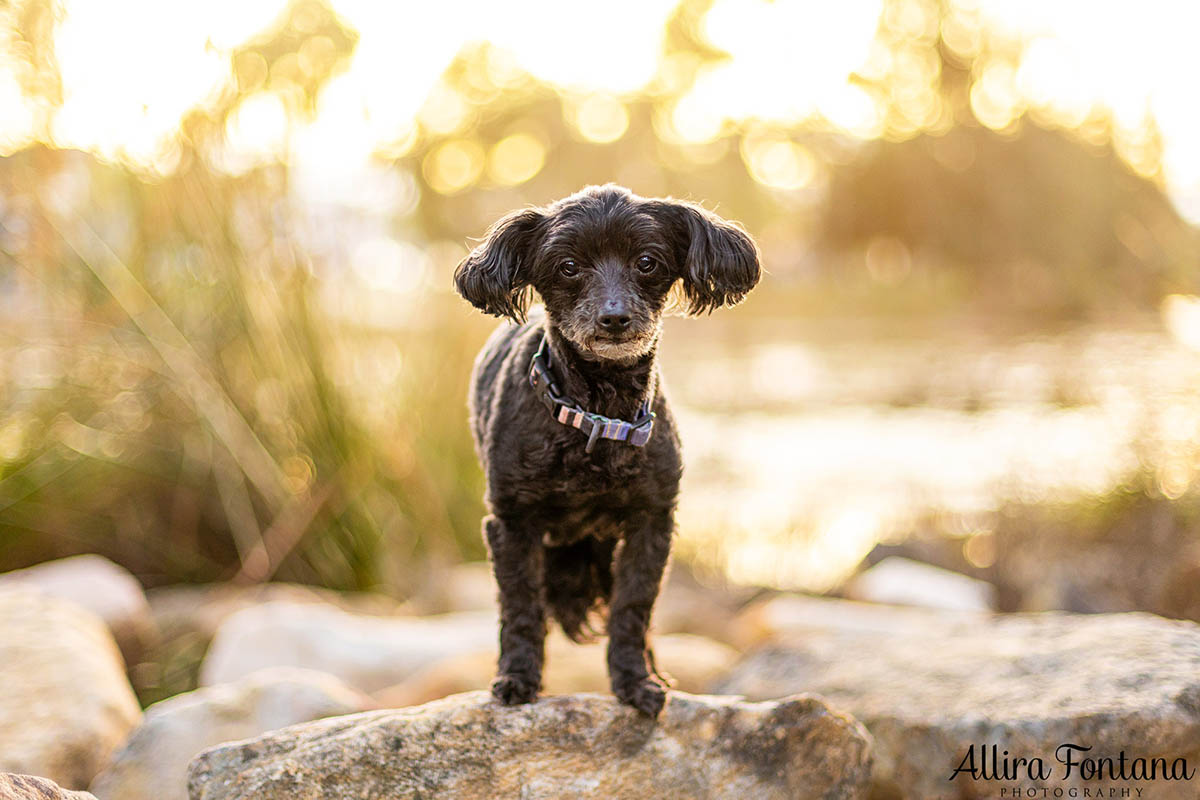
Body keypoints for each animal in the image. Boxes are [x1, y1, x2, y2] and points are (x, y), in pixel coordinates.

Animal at [451, 184, 758, 714]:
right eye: (568, 266)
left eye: (647, 262)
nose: (614, 317)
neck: (597, 414)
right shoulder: (512, 524)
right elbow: (521, 607)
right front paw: (517, 677)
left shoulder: (651, 523)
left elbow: (633, 609)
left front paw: (636, 680)